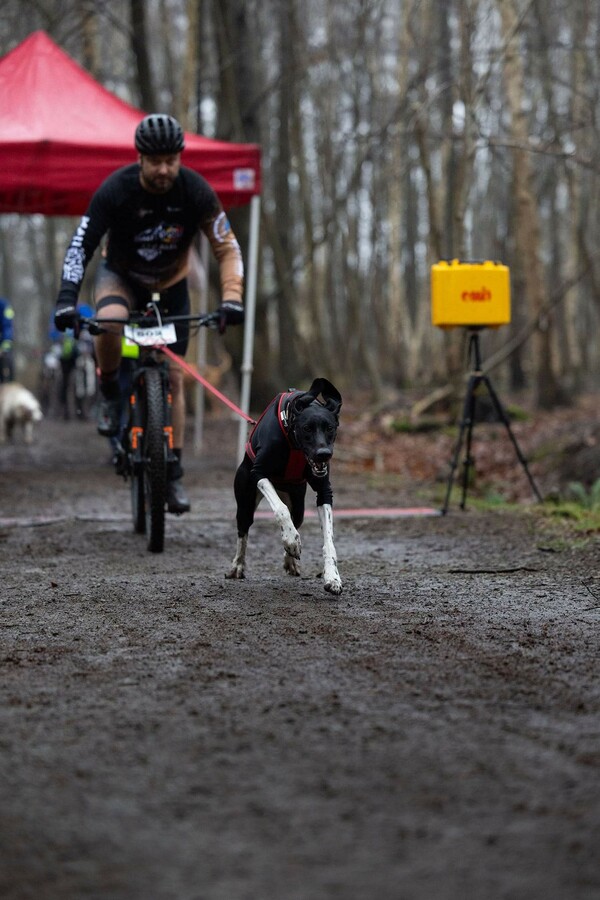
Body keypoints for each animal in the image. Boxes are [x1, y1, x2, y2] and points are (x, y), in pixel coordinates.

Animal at [227, 376, 342, 596]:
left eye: (330, 428)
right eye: (307, 428)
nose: (323, 454)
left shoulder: (324, 491)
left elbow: (329, 542)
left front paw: (332, 577)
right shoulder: (259, 473)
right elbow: (280, 510)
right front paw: (291, 539)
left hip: (299, 505)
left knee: (295, 518)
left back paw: (290, 560)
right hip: (245, 501)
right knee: (243, 532)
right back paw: (237, 565)